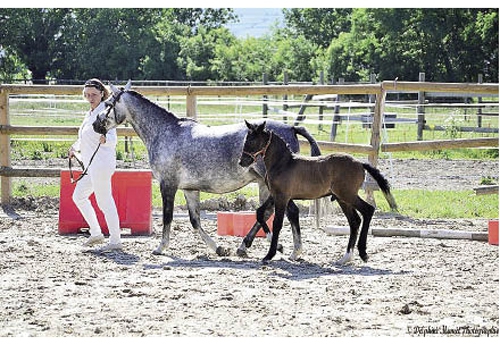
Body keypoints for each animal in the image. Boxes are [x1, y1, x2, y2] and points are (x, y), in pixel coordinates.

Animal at [93, 81, 320, 255]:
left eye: (107, 103)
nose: (96, 124)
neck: (165, 132)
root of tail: (291, 127)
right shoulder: (189, 189)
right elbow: (195, 221)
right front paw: (219, 248)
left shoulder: (168, 185)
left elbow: (167, 217)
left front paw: (160, 247)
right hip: (264, 184)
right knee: (266, 213)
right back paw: (246, 247)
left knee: (290, 211)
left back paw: (294, 250)